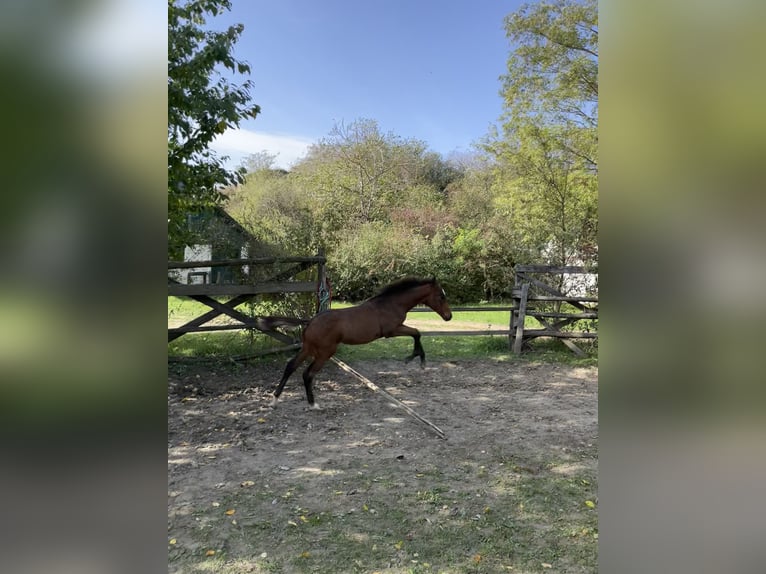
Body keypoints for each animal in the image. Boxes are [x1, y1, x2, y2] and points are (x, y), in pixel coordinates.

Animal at [272, 278, 452, 410]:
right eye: (441, 296)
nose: (449, 316)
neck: (392, 304)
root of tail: (310, 322)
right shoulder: (392, 331)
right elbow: (416, 332)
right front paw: (417, 359)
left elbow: (416, 333)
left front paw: (415, 358)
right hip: (324, 353)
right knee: (307, 374)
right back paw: (313, 404)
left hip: (308, 348)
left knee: (291, 366)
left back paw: (275, 399)